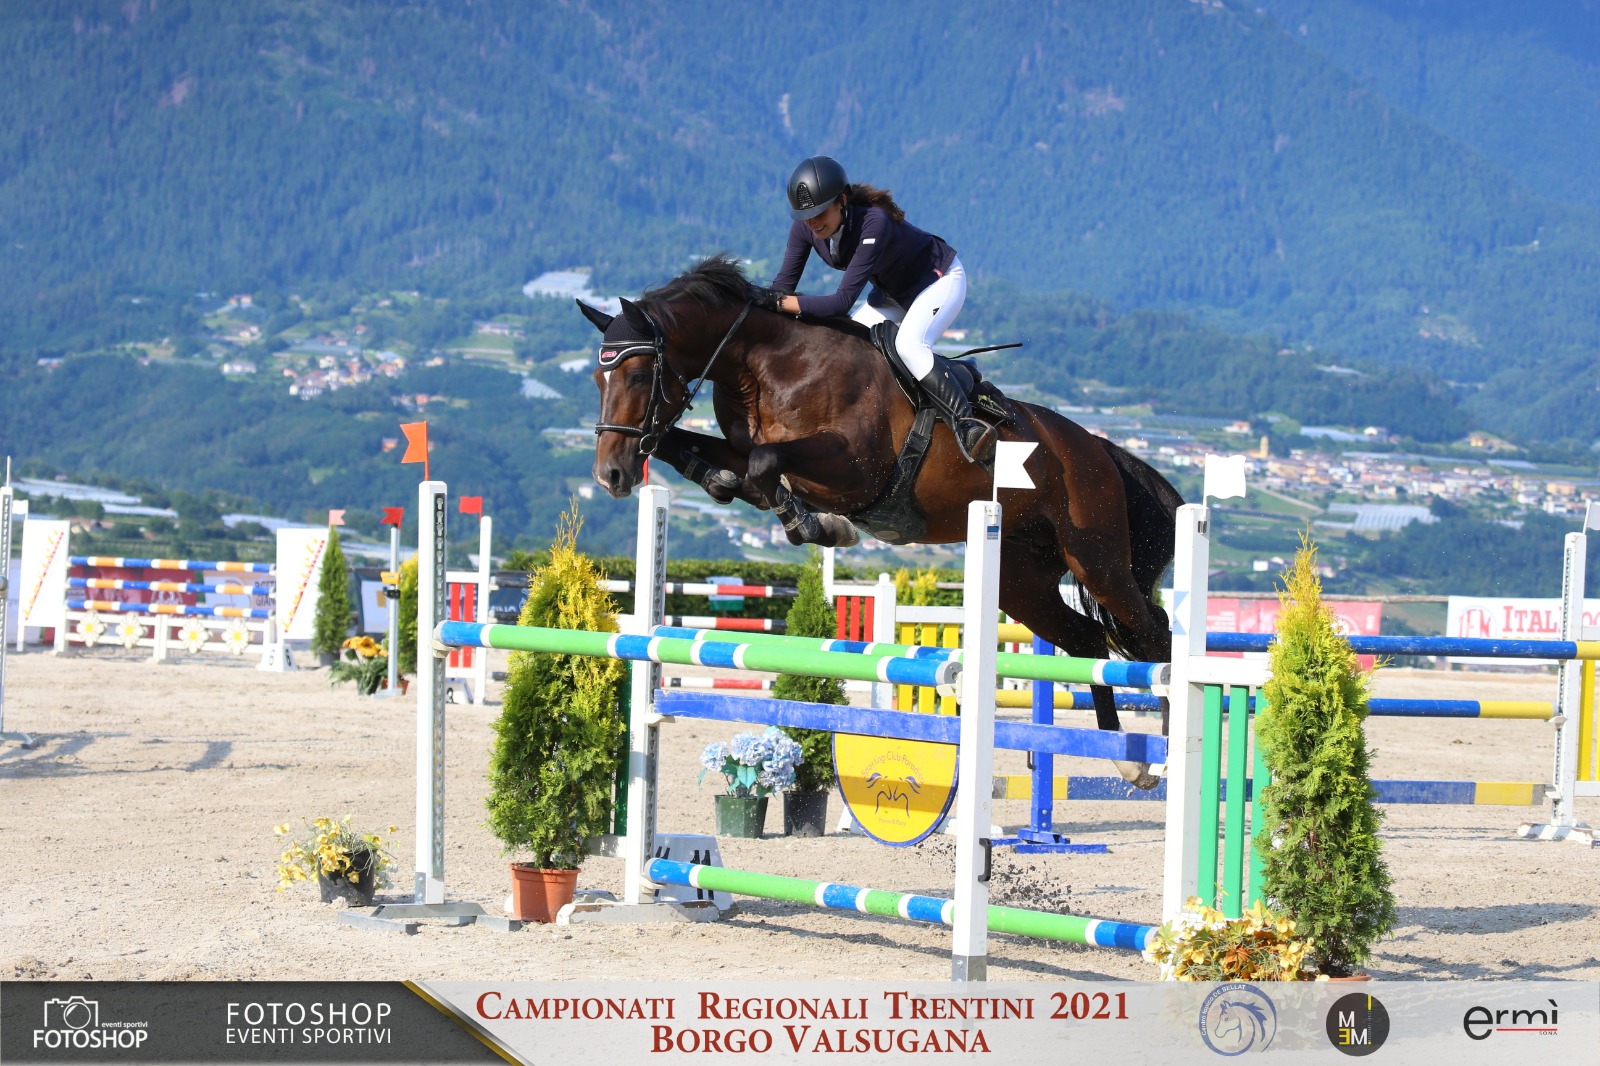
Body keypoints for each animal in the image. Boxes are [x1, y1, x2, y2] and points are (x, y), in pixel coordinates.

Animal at [580, 255, 1184, 786]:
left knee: (1155, 634)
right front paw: (725, 484)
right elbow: (706, 454)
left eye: (638, 374)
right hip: (1021, 580)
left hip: (1095, 558)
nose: (612, 475)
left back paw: (1169, 749)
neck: (765, 366)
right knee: (1088, 639)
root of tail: (1099, 448)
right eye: (597, 378)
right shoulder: (751, 448)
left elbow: (765, 464)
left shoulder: (854, 470)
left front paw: (815, 526)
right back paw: (1126, 761)